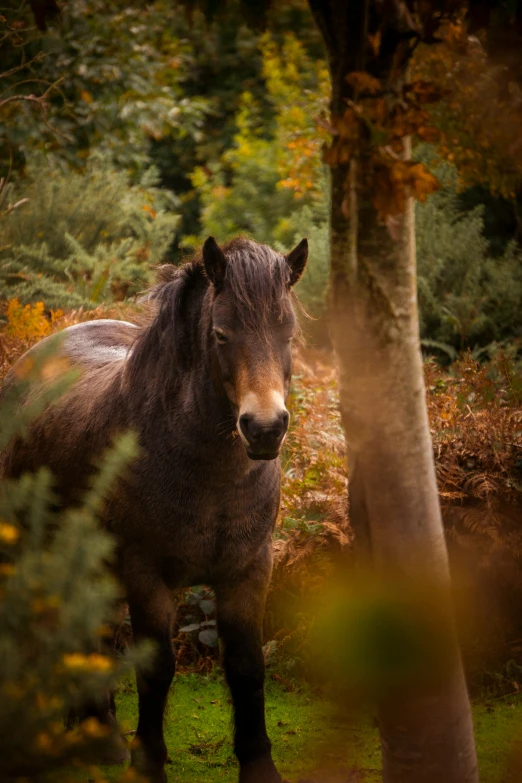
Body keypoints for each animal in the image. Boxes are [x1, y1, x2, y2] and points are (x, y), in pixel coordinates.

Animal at [2, 237, 306, 783]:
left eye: (287, 333)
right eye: (221, 334)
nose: (265, 428)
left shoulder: (248, 570)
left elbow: (248, 665)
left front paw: (259, 764)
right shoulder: (145, 572)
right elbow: (156, 667)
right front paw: (147, 763)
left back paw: (100, 735)